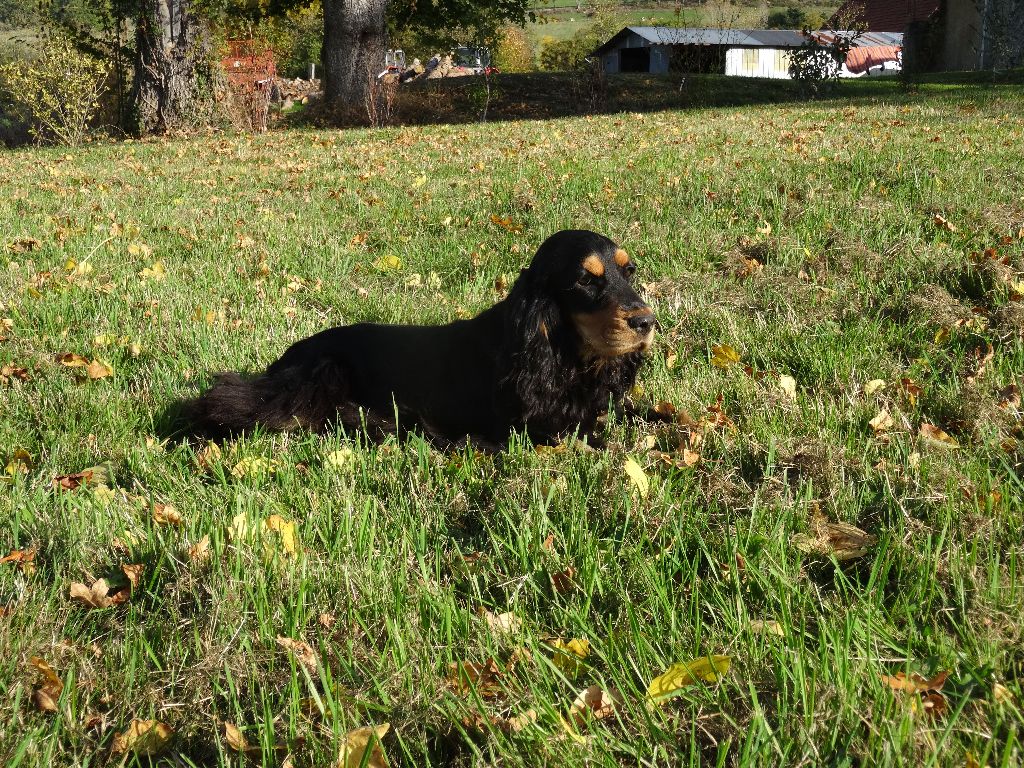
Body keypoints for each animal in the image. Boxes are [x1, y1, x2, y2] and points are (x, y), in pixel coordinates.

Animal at [184, 228, 655, 448]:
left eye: (629, 270)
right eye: (585, 281)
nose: (648, 321)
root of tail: (288, 354)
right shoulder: (529, 428)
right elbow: (589, 438)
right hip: (316, 375)